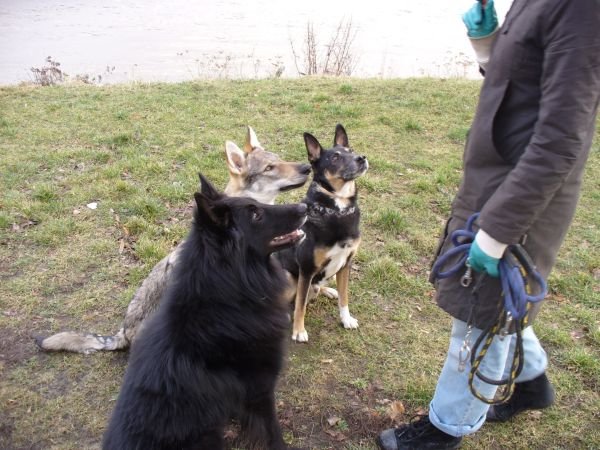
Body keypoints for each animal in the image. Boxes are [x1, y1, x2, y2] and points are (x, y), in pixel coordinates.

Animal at [102, 175, 307, 450]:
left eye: (256, 203)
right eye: (255, 214)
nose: (304, 208)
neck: (227, 298)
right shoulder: (260, 388)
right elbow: (272, 433)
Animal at [278, 124, 368, 342]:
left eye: (351, 150)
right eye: (335, 157)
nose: (362, 158)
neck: (337, 209)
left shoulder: (346, 263)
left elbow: (345, 297)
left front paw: (346, 319)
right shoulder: (306, 268)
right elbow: (300, 305)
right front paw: (299, 331)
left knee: (318, 285)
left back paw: (328, 290)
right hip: (288, 277)